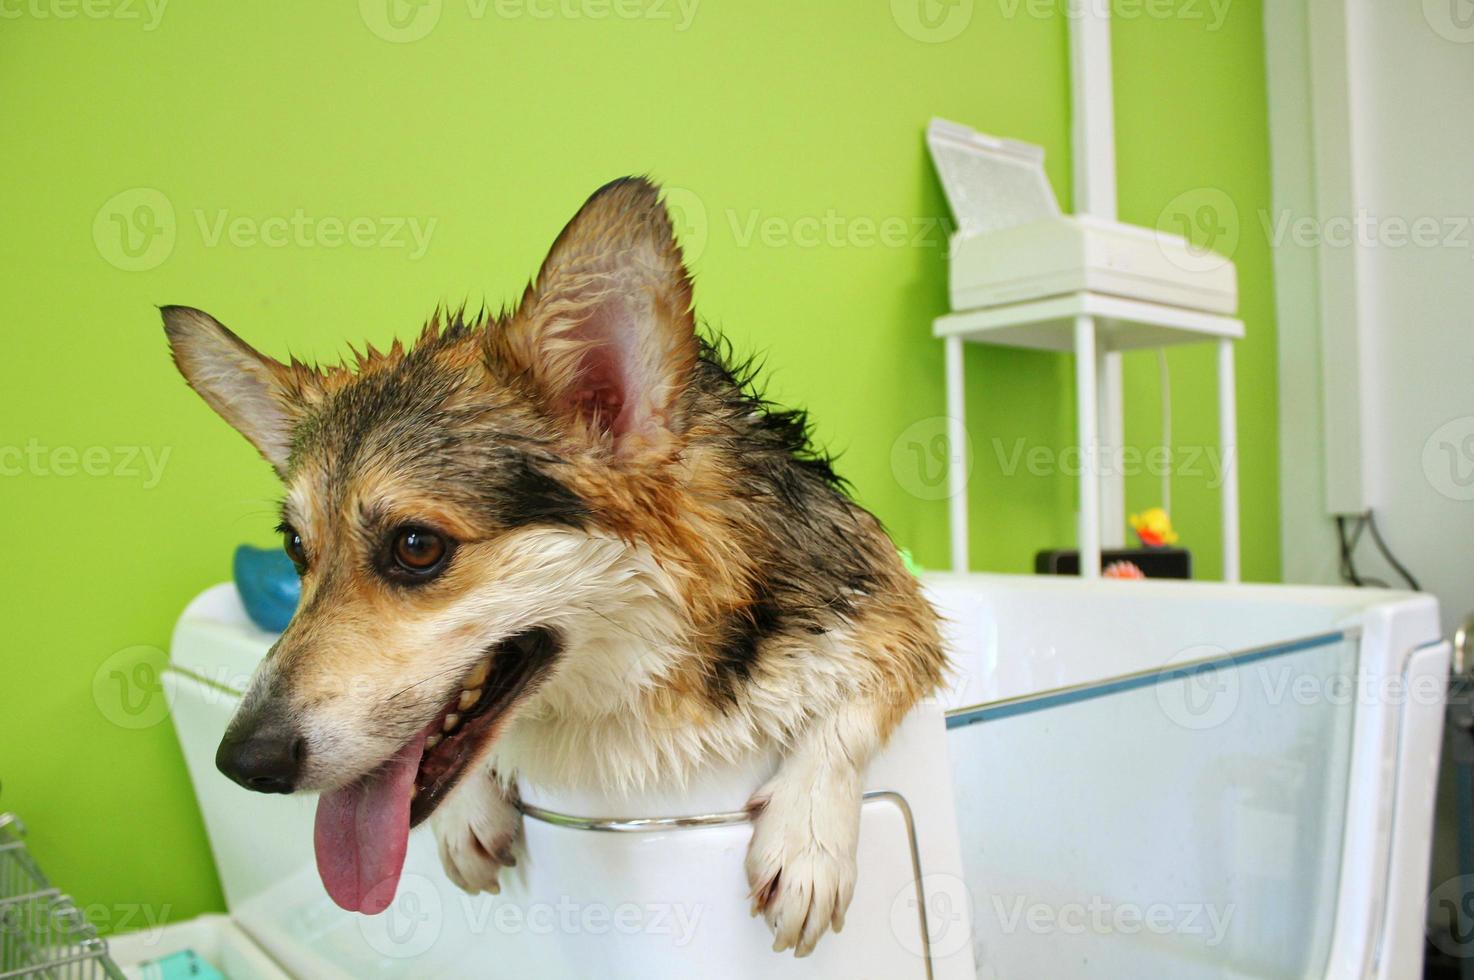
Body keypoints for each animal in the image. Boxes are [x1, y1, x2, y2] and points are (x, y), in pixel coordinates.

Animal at [161, 177, 943, 954]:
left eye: (416, 547)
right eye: (296, 548)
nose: (242, 763)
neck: (653, 673)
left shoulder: (900, 610)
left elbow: (847, 710)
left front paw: (806, 842)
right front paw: (468, 814)